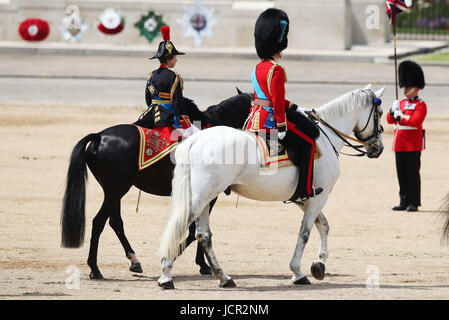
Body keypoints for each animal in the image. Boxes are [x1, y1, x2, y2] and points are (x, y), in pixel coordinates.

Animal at [60, 91, 252, 278]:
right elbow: (194, 232)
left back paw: (134, 261)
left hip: (114, 191)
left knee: (115, 222)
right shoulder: (208, 196)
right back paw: (95, 268)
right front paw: (200, 264)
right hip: (116, 191)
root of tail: (99, 136)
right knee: (98, 222)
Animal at [156, 84, 384, 288]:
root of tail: (195, 141)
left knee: (203, 235)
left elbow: (324, 225)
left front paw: (319, 264)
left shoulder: (306, 198)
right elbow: (305, 232)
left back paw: (223, 277)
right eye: (380, 113)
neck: (326, 137)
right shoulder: (319, 196)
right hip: (201, 198)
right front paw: (298, 272)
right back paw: (166, 275)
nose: (378, 148)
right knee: (182, 226)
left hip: (206, 198)